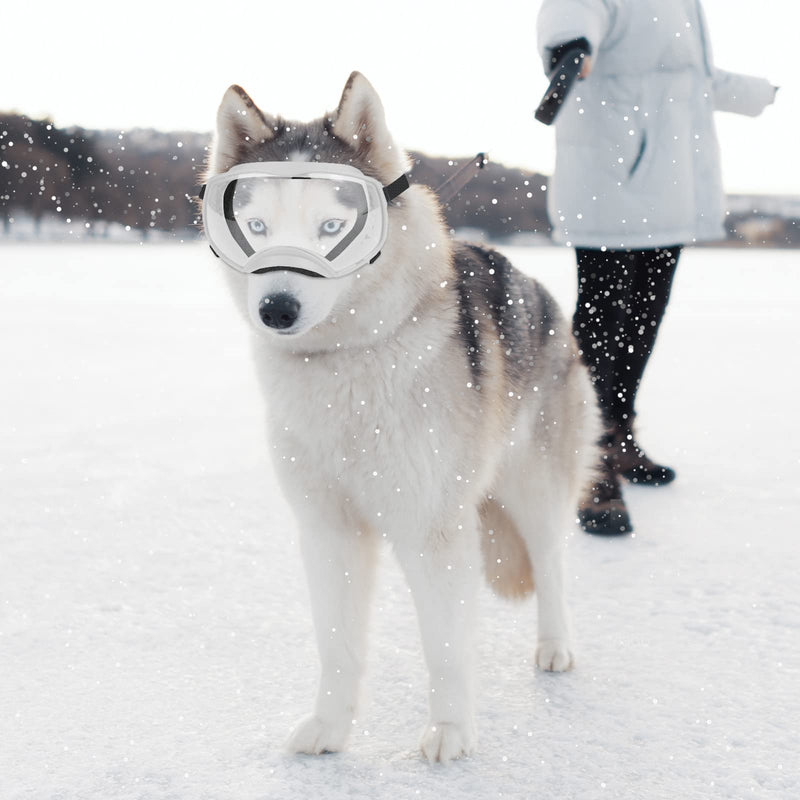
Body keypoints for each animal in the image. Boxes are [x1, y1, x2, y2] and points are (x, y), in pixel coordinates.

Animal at [206, 73, 600, 764]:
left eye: (332, 227)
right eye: (255, 226)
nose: (276, 308)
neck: (346, 358)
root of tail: (536, 286)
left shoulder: (432, 526)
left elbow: (444, 646)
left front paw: (450, 730)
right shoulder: (328, 529)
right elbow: (337, 645)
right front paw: (330, 727)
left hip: (535, 487)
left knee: (551, 563)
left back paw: (555, 646)